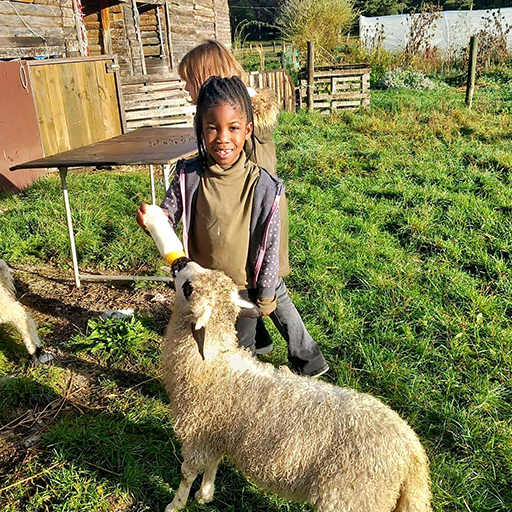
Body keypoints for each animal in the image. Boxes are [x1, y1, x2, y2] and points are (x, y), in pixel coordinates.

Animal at [140, 206, 432, 512]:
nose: (180, 261)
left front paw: (176, 504)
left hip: (352, 498)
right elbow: (214, 464)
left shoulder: (197, 431)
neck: (214, 364)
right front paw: (206, 494)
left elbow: (187, 472)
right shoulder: (215, 433)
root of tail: (412, 454)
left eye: (188, 288)